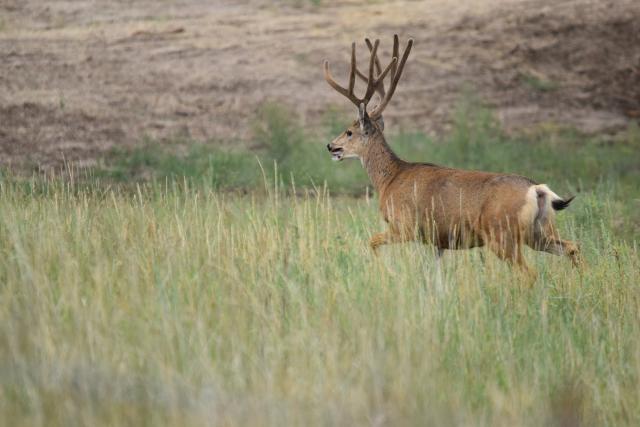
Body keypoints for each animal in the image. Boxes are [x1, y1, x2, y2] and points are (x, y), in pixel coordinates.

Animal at [324, 33, 580, 280]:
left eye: (349, 131)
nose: (331, 146)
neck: (390, 179)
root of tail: (537, 189)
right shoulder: (437, 240)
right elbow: (435, 273)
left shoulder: (405, 226)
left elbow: (372, 242)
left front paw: (388, 273)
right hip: (539, 232)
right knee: (572, 247)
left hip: (502, 233)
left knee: (530, 272)